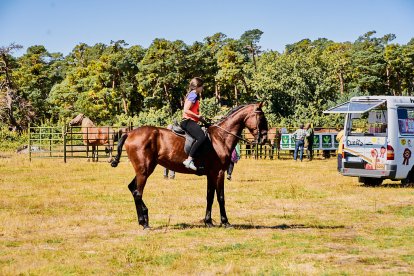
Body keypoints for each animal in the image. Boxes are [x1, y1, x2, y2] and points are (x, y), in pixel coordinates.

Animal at [111, 103, 270, 229]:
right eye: (262, 118)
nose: (264, 138)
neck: (220, 137)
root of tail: (130, 133)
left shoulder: (211, 174)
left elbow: (210, 196)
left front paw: (208, 221)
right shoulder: (219, 173)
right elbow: (221, 197)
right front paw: (225, 222)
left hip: (144, 169)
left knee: (132, 189)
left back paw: (143, 218)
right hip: (144, 170)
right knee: (138, 192)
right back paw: (144, 222)